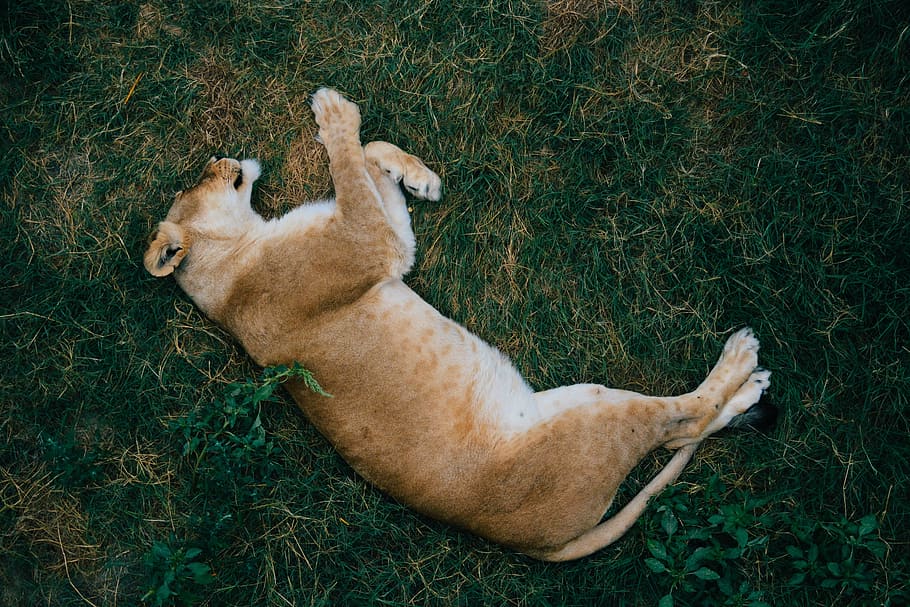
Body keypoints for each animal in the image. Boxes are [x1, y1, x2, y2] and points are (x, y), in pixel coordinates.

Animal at [144, 88, 772, 561]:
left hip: (575, 398)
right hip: (597, 420)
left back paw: (748, 391)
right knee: (683, 421)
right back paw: (744, 365)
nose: (224, 158)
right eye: (200, 177)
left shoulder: (388, 244)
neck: (235, 260)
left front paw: (418, 178)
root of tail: (524, 544)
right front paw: (335, 113)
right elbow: (351, 163)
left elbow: (369, 161)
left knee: (686, 430)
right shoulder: (370, 247)